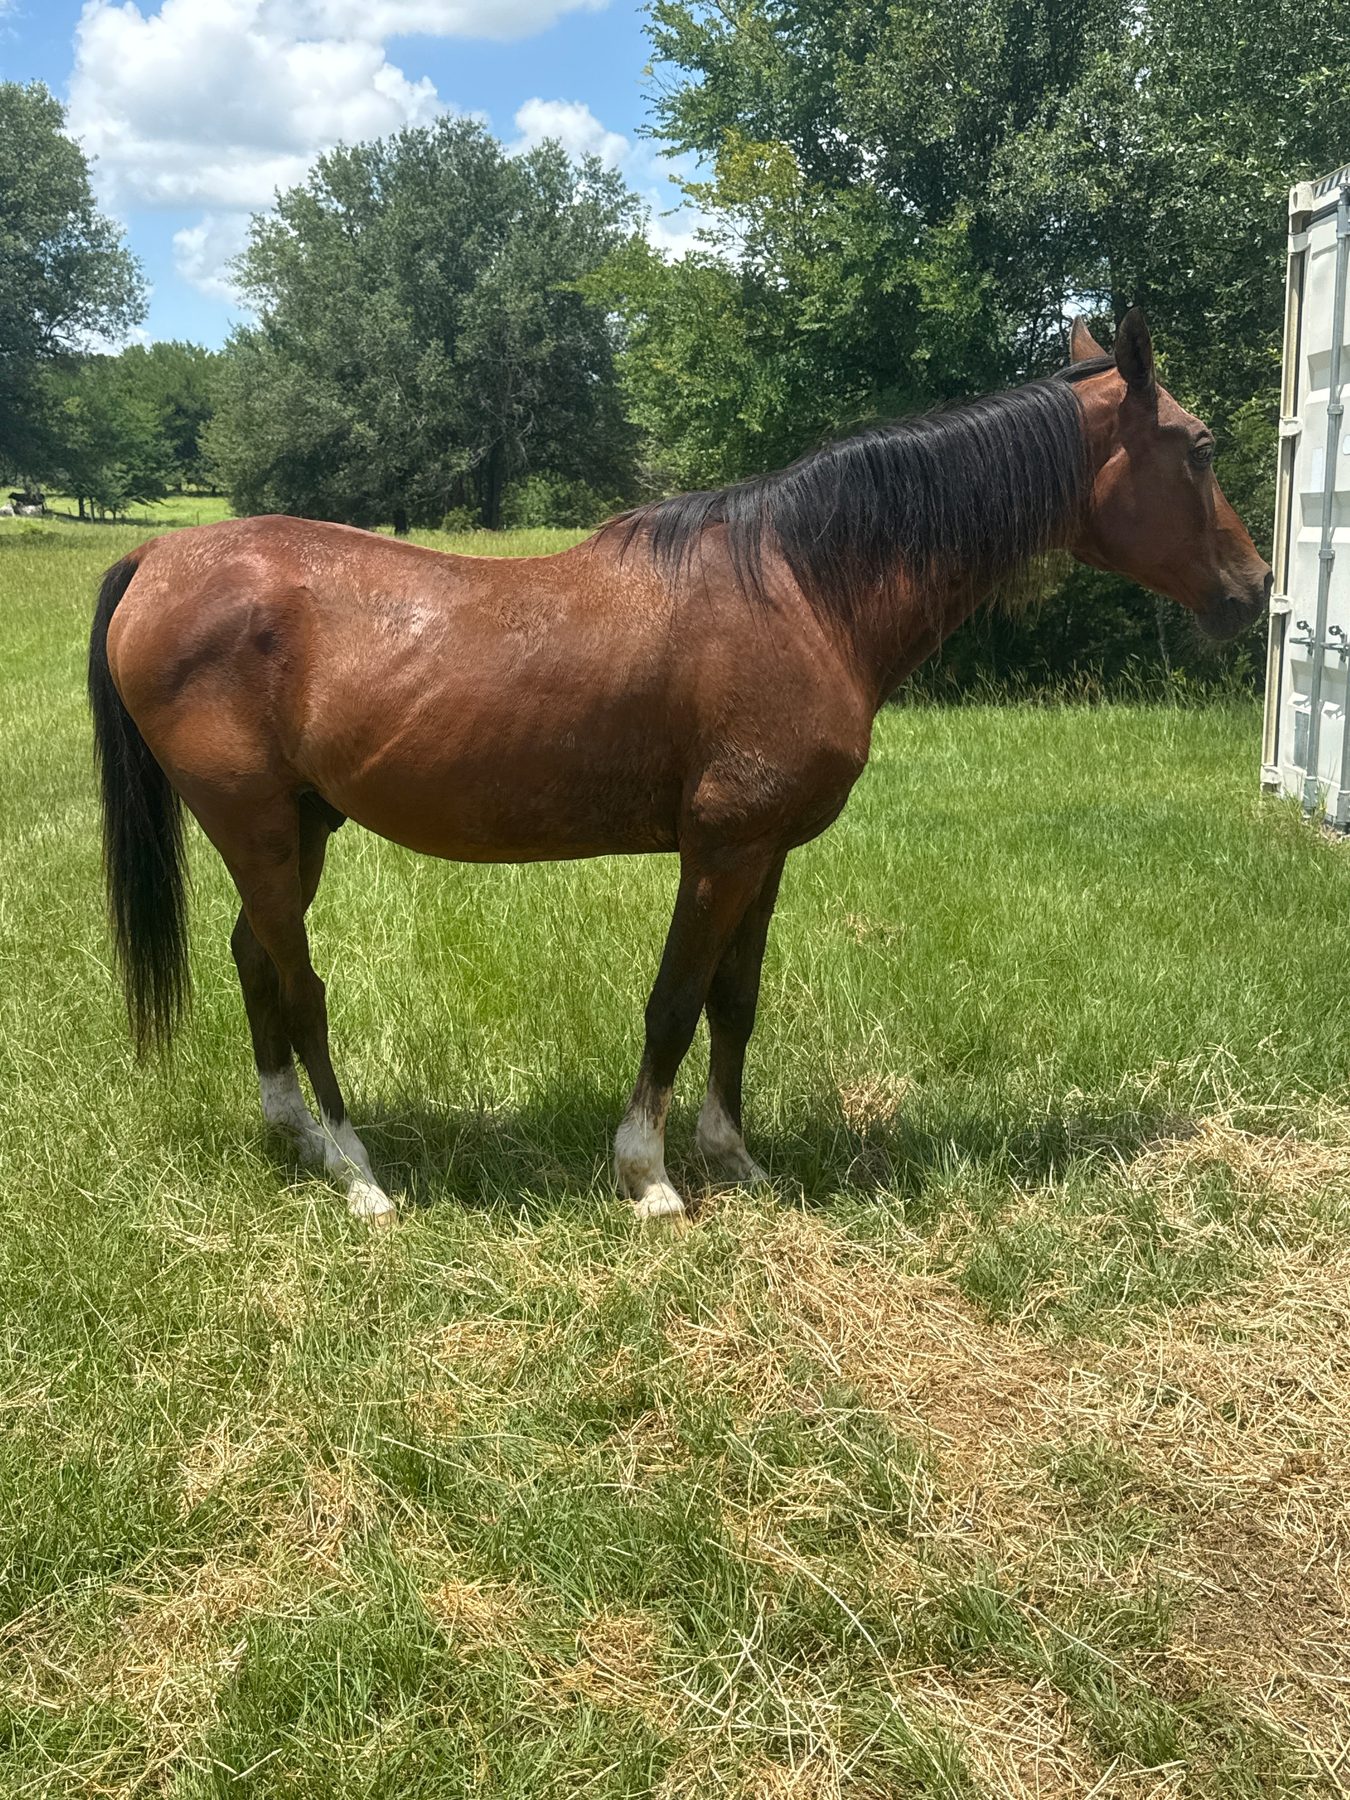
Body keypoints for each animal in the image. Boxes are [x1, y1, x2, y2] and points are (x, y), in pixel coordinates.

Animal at [88, 310, 1271, 1226]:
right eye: (1200, 446)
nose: (1255, 591)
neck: (801, 590)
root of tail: (160, 556)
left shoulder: (766, 852)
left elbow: (733, 1002)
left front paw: (734, 1156)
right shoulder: (720, 849)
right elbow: (673, 999)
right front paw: (648, 1176)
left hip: (300, 826)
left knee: (255, 959)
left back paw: (294, 1134)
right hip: (251, 823)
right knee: (299, 981)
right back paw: (358, 1172)